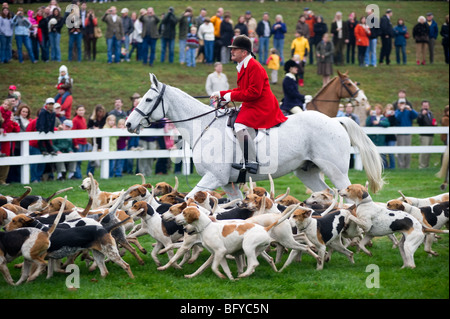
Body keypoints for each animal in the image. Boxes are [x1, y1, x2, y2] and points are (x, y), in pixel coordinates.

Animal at [126, 75, 384, 200]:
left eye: (148, 99)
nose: (128, 123)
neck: (205, 126)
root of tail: (334, 120)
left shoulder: (213, 178)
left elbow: (186, 200)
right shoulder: (228, 183)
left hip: (337, 172)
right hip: (307, 172)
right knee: (328, 195)